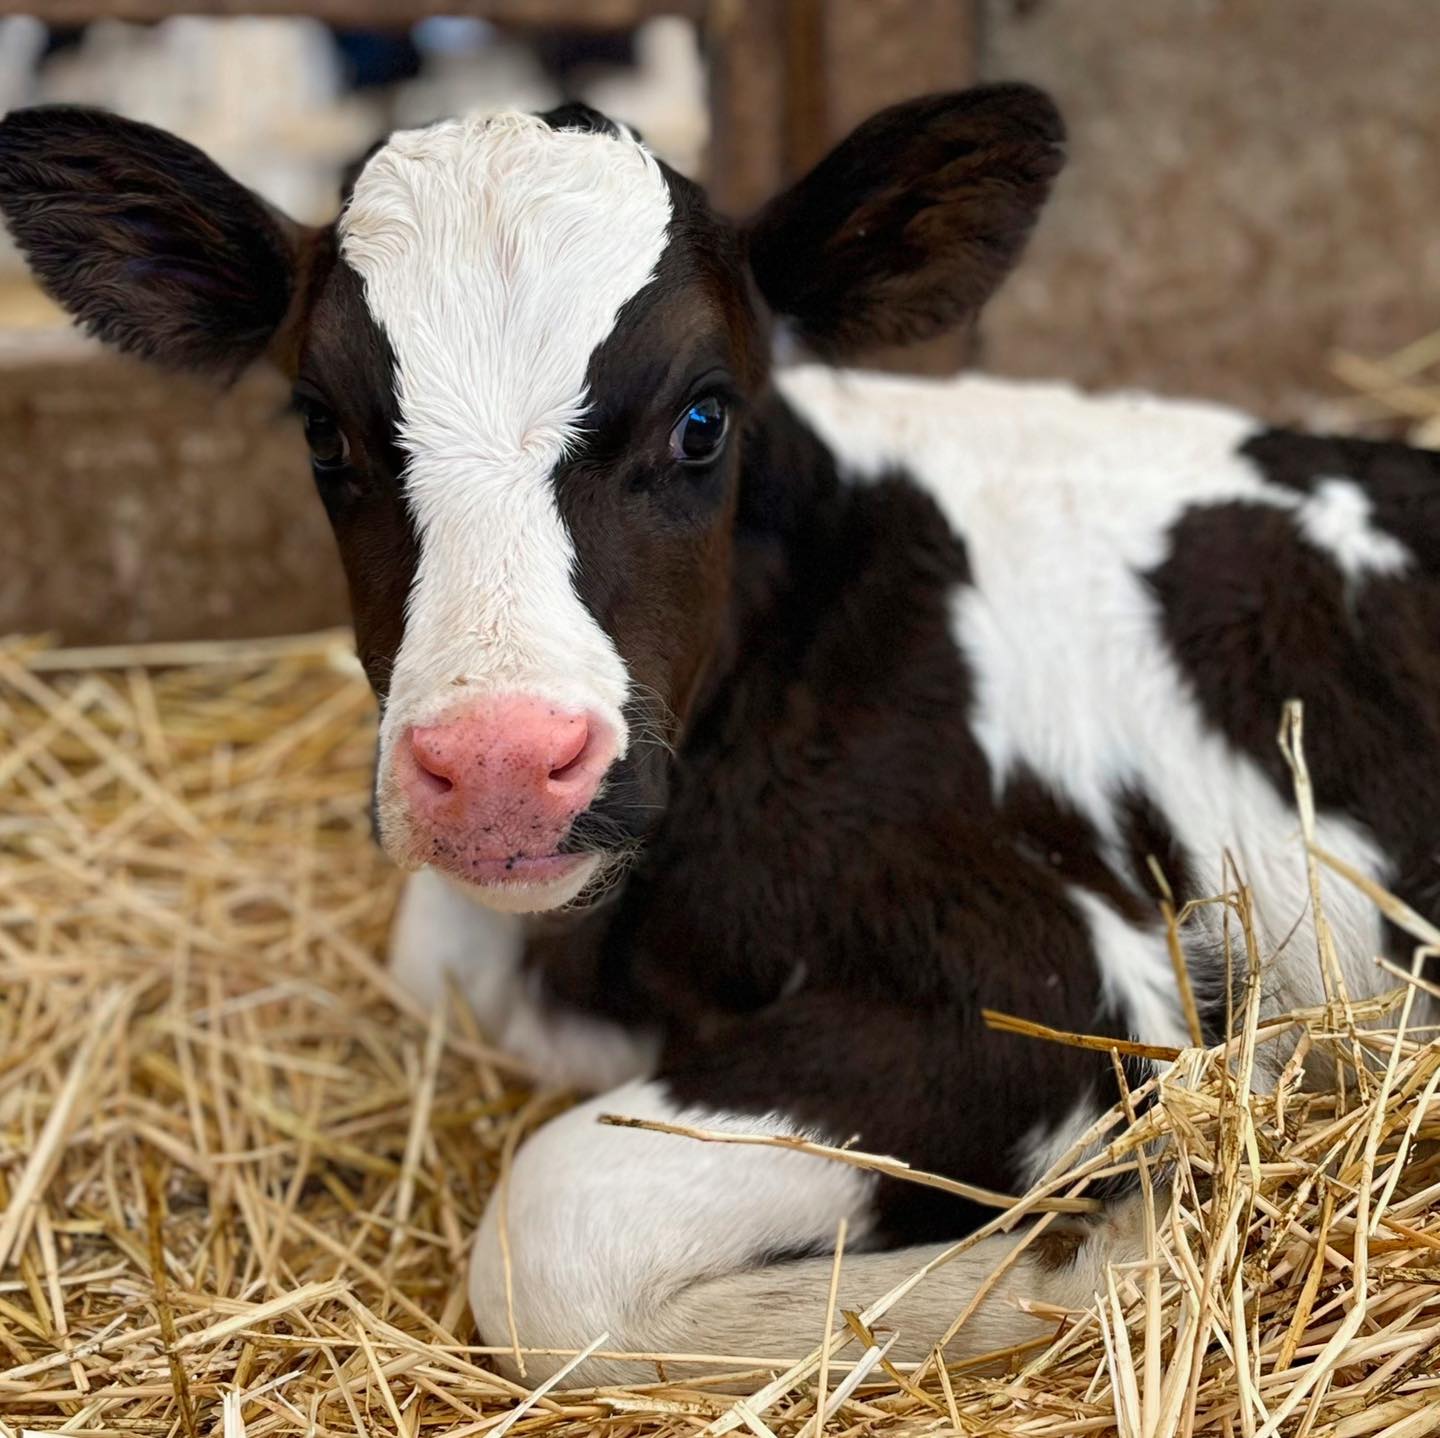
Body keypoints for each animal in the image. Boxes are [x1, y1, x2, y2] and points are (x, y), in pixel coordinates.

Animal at [1, 85, 1436, 1387]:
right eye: (321, 428)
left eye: (702, 420)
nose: (502, 767)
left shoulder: (1063, 976)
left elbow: (550, 1234)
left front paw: (1092, 1249)